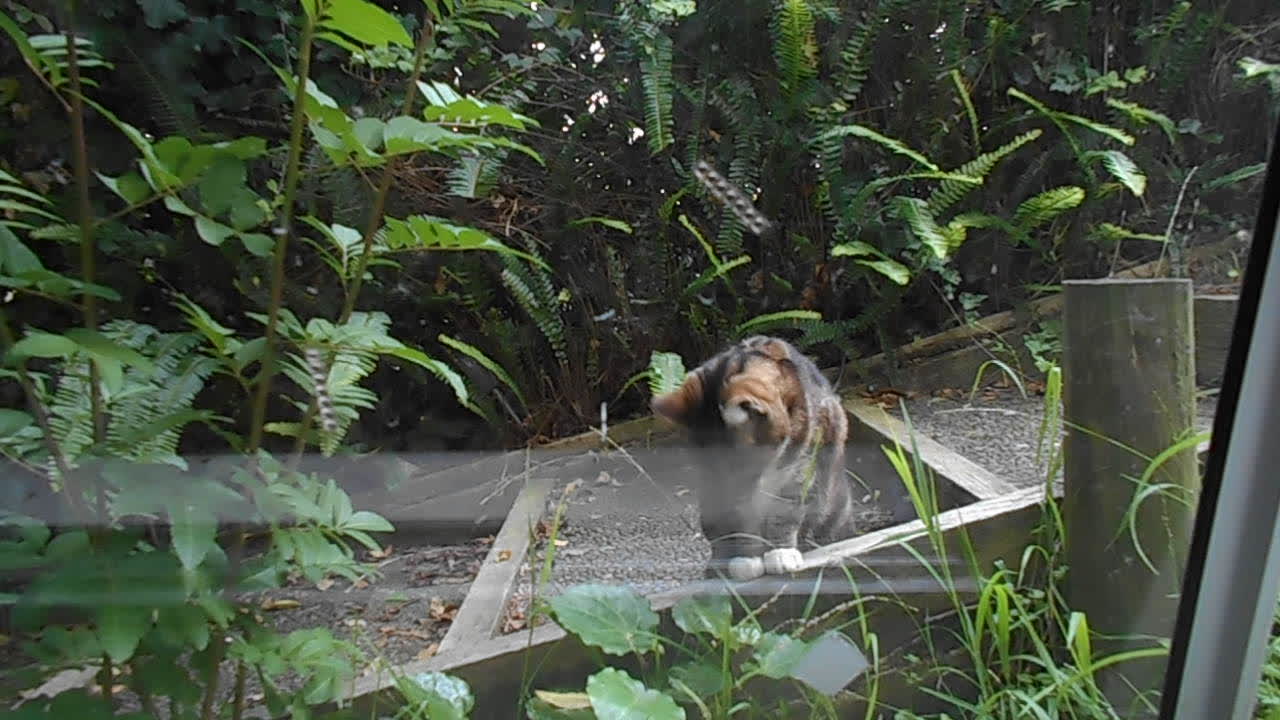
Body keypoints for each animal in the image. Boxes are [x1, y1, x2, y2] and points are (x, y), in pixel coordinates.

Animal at [650, 335, 860, 576]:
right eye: (708, 465)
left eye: (747, 466)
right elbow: (738, 516)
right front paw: (746, 558)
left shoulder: (804, 460)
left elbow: (785, 510)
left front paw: (780, 553)